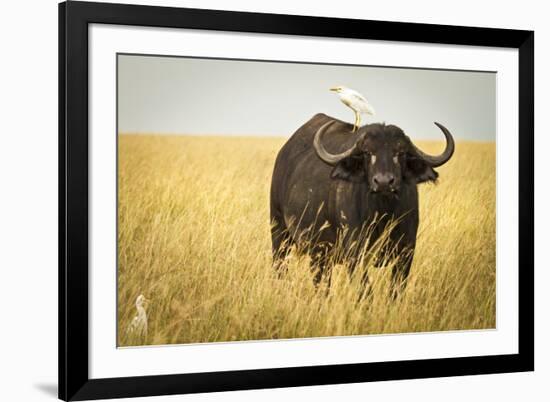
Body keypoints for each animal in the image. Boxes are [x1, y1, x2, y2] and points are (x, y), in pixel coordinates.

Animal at [270, 111, 454, 290]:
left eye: (400, 153)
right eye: (368, 152)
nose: (383, 182)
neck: (383, 212)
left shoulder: (406, 253)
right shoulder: (356, 253)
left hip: (321, 254)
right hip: (280, 233)